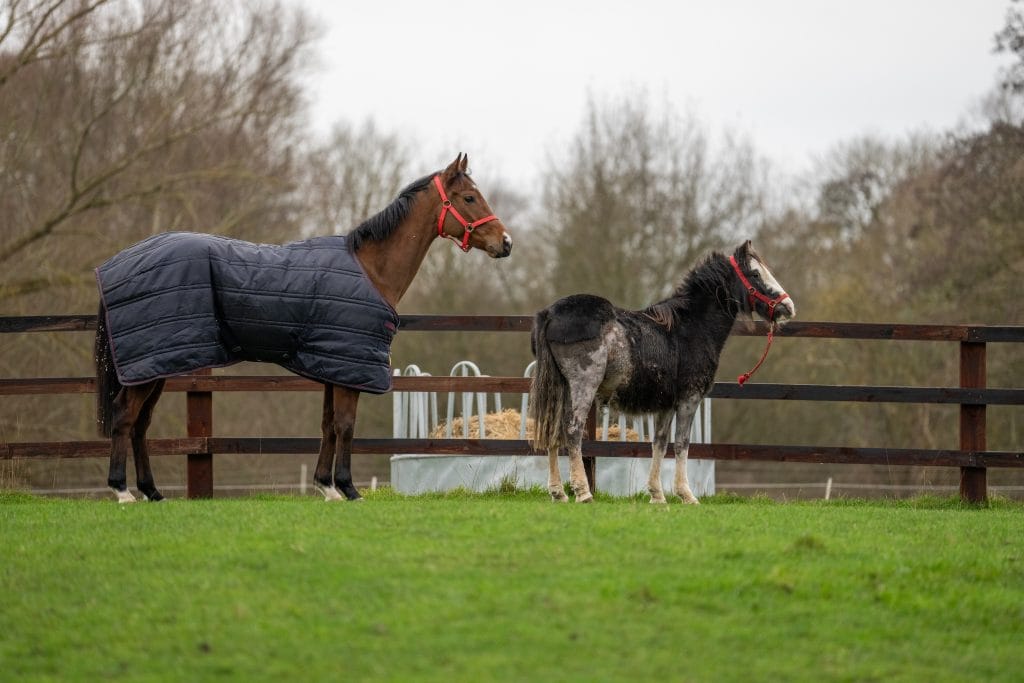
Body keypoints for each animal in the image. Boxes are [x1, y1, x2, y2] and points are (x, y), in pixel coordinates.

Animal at [94, 154, 512, 503]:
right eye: (470, 197)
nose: (505, 242)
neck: (370, 270)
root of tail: (115, 264)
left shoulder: (333, 366)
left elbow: (327, 425)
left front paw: (325, 487)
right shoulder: (349, 367)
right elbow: (345, 425)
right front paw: (348, 488)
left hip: (155, 366)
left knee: (140, 423)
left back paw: (152, 492)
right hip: (149, 364)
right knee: (125, 416)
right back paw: (122, 491)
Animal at [528, 240, 794, 504]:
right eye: (755, 274)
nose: (788, 306)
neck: (690, 328)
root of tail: (549, 313)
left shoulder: (665, 404)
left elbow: (660, 444)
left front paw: (657, 495)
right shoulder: (689, 399)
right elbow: (682, 444)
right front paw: (686, 494)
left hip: (561, 388)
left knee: (553, 431)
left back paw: (558, 492)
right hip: (583, 386)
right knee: (572, 430)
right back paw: (583, 492)